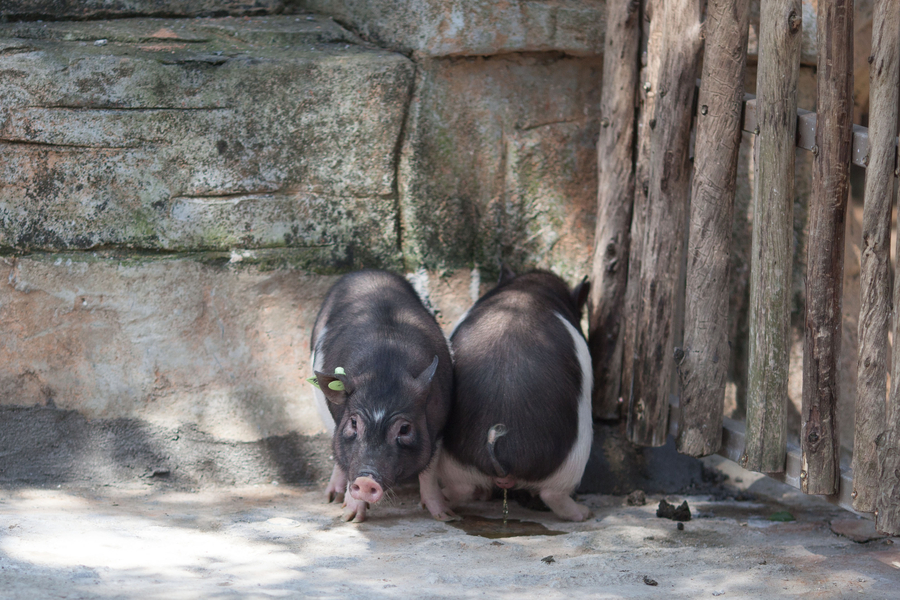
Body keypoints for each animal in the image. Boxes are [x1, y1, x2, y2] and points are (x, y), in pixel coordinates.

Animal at [309, 269, 457, 522]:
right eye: (353, 423)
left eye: (405, 429)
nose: (366, 480)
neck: (385, 367)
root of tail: (369, 272)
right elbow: (345, 460)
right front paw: (350, 518)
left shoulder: (439, 424)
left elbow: (429, 470)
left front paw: (446, 516)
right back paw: (331, 499)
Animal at [439, 269, 593, 521]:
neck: (528, 288)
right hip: (573, 460)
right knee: (554, 496)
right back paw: (584, 513)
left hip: (455, 464)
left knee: (461, 489)